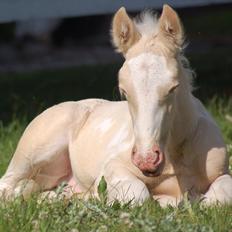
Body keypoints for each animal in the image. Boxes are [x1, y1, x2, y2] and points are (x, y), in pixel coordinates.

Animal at [0, 4, 232, 206]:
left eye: (173, 88)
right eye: (124, 91)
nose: (147, 160)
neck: (175, 155)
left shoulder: (221, 172)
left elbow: (219, 197)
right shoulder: (112, 167)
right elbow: (138, 195)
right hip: (33, 154)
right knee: (9, 187)